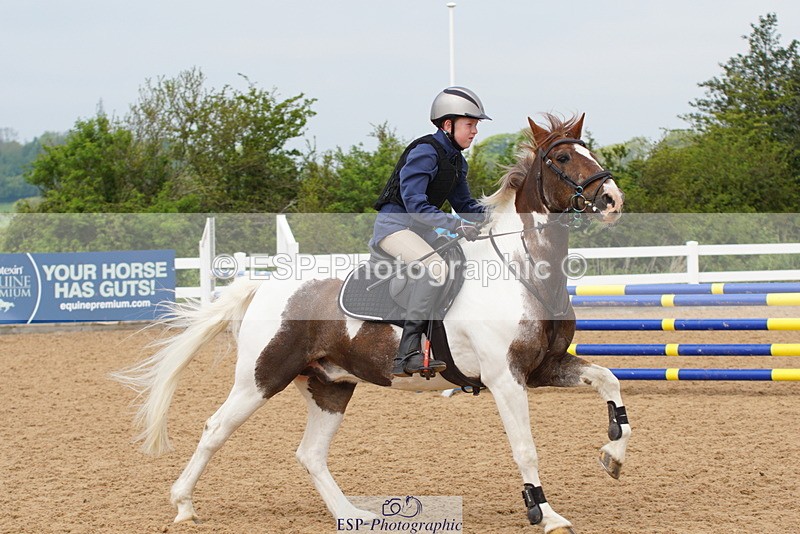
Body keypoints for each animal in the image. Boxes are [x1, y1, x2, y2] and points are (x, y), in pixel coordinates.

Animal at [113, 113, 629, 533]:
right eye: (562, 156)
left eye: (590, 150)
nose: (612, 199)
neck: (522, 270)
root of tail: (265, 285)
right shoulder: (506, 378)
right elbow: (525, 448)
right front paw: (547, 514)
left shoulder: (544, 368)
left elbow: (609, 380)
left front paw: (613, 456)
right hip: (261, 378)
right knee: (215, 428)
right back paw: (184, 506)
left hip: (330, 384)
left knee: (310, 453)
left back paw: (352, 515)